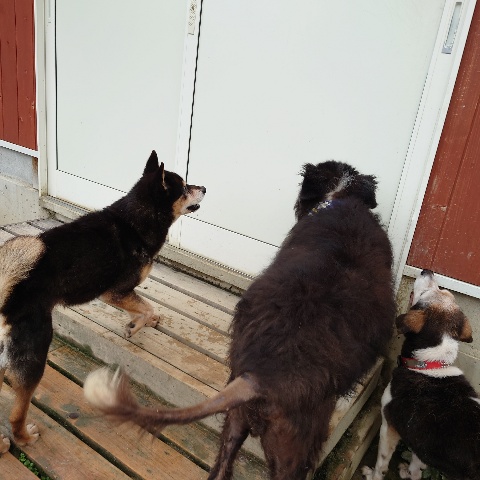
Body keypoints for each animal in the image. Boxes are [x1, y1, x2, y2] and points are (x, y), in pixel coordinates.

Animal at [0, 150, 205, 454]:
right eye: (184, 188)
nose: (205, 188)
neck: (136, 220)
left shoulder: (121, 294)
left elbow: (145, 307)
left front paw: (143, 322)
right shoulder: (114, 292)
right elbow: (146, 307)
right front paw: (135, 326)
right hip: (35, 351)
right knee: (17, 412)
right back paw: (23, 437)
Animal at [362, 269, 479, 480]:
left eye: (424, 294)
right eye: (445, 292)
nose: (428, 271)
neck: (428, 365)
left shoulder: (388, 427)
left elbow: (381, 464)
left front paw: (372, 475)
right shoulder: (422, 446)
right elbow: (416, 467)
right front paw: (407, 472)